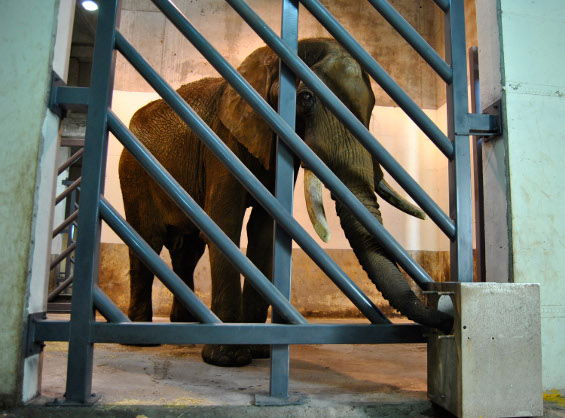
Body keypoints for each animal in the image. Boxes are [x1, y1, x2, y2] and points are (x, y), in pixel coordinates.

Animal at [120, 38, 454, 366]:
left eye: (370, 111)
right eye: (305, 98)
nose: (447, 314)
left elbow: (264, 232)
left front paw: (259, 353)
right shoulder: (223, 140)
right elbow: (224, 226)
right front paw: (228, 358)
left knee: (187, 250)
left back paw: (186, 326)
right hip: (134, 173)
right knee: (147, 241)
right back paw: (143, 339)